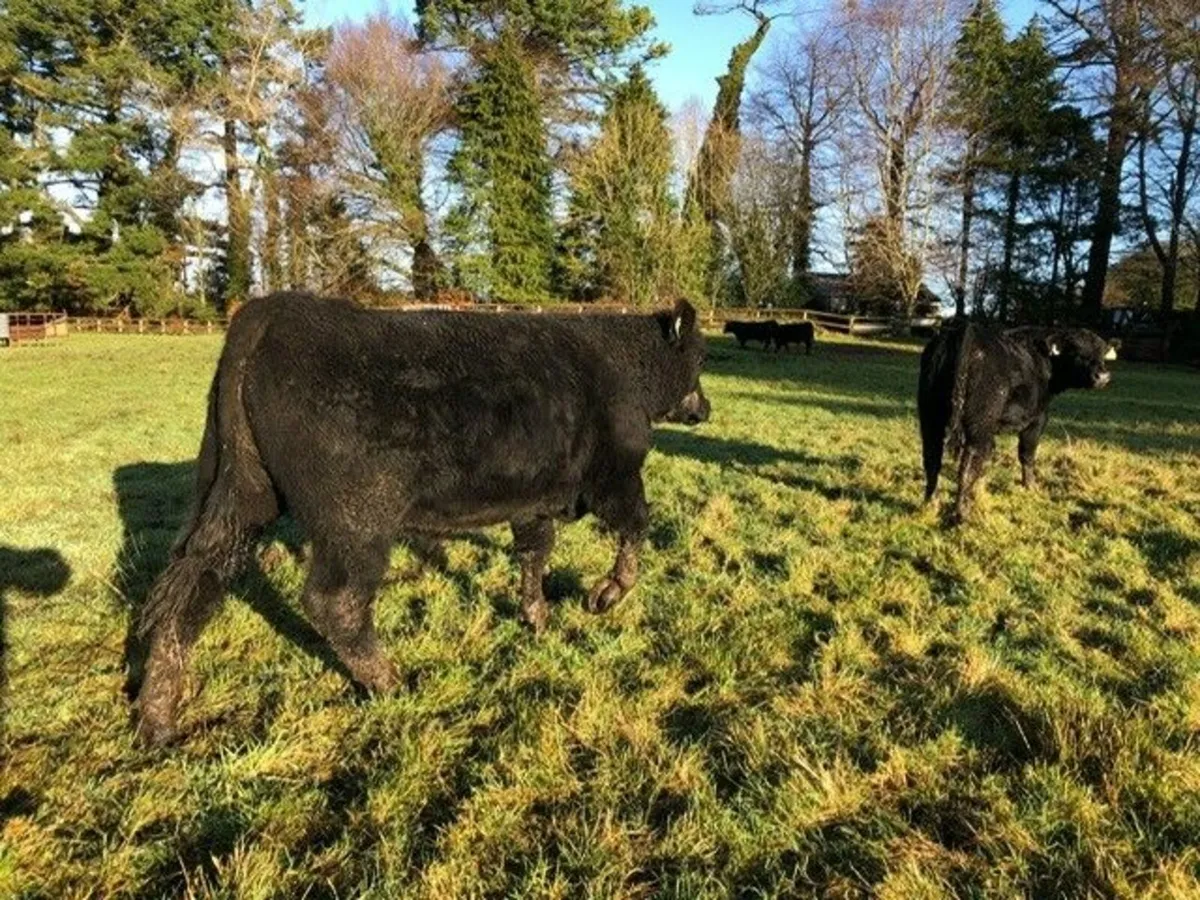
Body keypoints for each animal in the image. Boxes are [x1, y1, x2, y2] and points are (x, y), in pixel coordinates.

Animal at [133, 292, 710, 745]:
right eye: (699, 360)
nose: (704, 409)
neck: (621, 365)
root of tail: (272, 310)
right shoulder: (616, 477)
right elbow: (636, 526)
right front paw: (606, 593)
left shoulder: (532, 499)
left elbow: (534, 554)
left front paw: (536, 617)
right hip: (357, 524)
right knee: (334, 602)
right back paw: (393, 682)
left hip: (236, 499)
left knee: (187, 589)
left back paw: (158, 718)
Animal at [918, 322, 1117, 524]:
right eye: (1076, 351)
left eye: (1102, 353)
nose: (1102, 376)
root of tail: (964, 331)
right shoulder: (1037, 420)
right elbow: (1026, 455)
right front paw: (1030, 487)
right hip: (978, 425)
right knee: (968, 464)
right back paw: (962, 514)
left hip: (930, 418)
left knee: (932, 459)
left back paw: (929, 504)